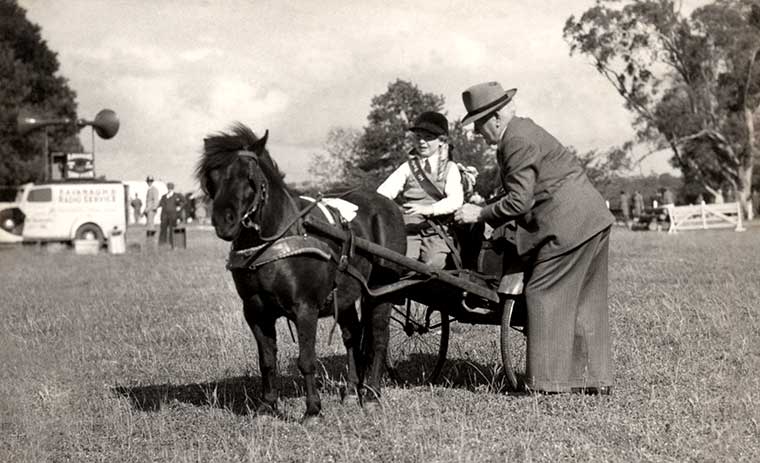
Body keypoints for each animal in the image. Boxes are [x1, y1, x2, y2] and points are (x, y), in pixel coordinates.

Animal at [199, 124, 406, 424]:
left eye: (248, 175)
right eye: (211, 177)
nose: (223, 222)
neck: (277, 241)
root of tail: (387, 204)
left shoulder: (305, 308)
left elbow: (306, 360)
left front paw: (313, 411)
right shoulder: (255, 311)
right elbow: (267, 361)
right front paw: (267, 406)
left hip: (381, 292)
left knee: (378, 338)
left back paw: (371, 395)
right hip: (345, 296)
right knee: (352, 337)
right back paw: (353, 391)